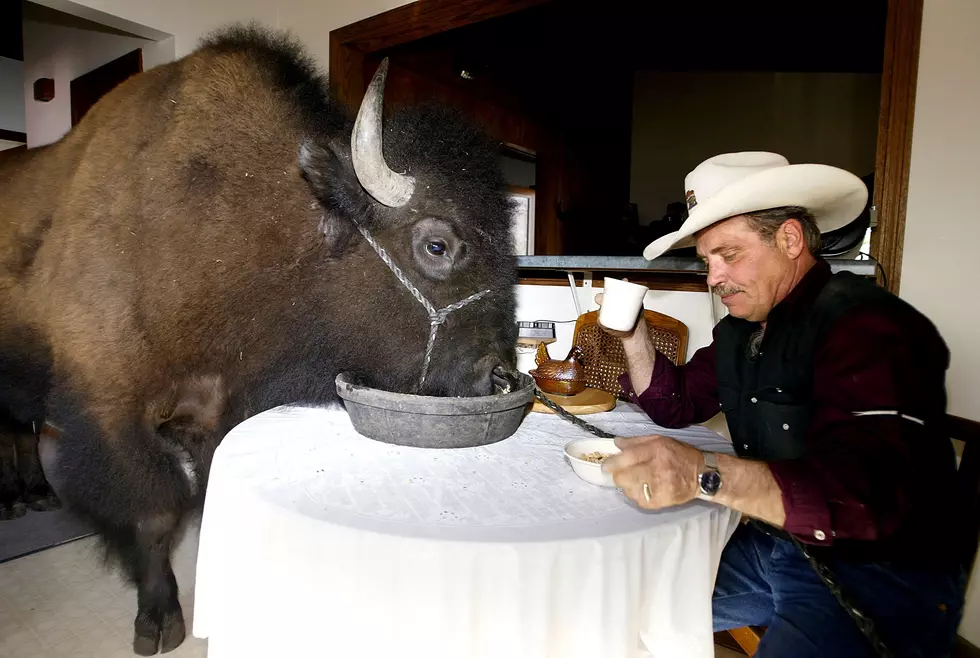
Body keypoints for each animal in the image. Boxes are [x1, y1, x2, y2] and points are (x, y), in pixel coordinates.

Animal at [0, 24, 520, 652]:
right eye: (437, 245)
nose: (494, 372)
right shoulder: (110, 413)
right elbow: (156, 512)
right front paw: (160, 621)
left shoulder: (211, 407)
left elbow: (202, 495)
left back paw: (33, 496)